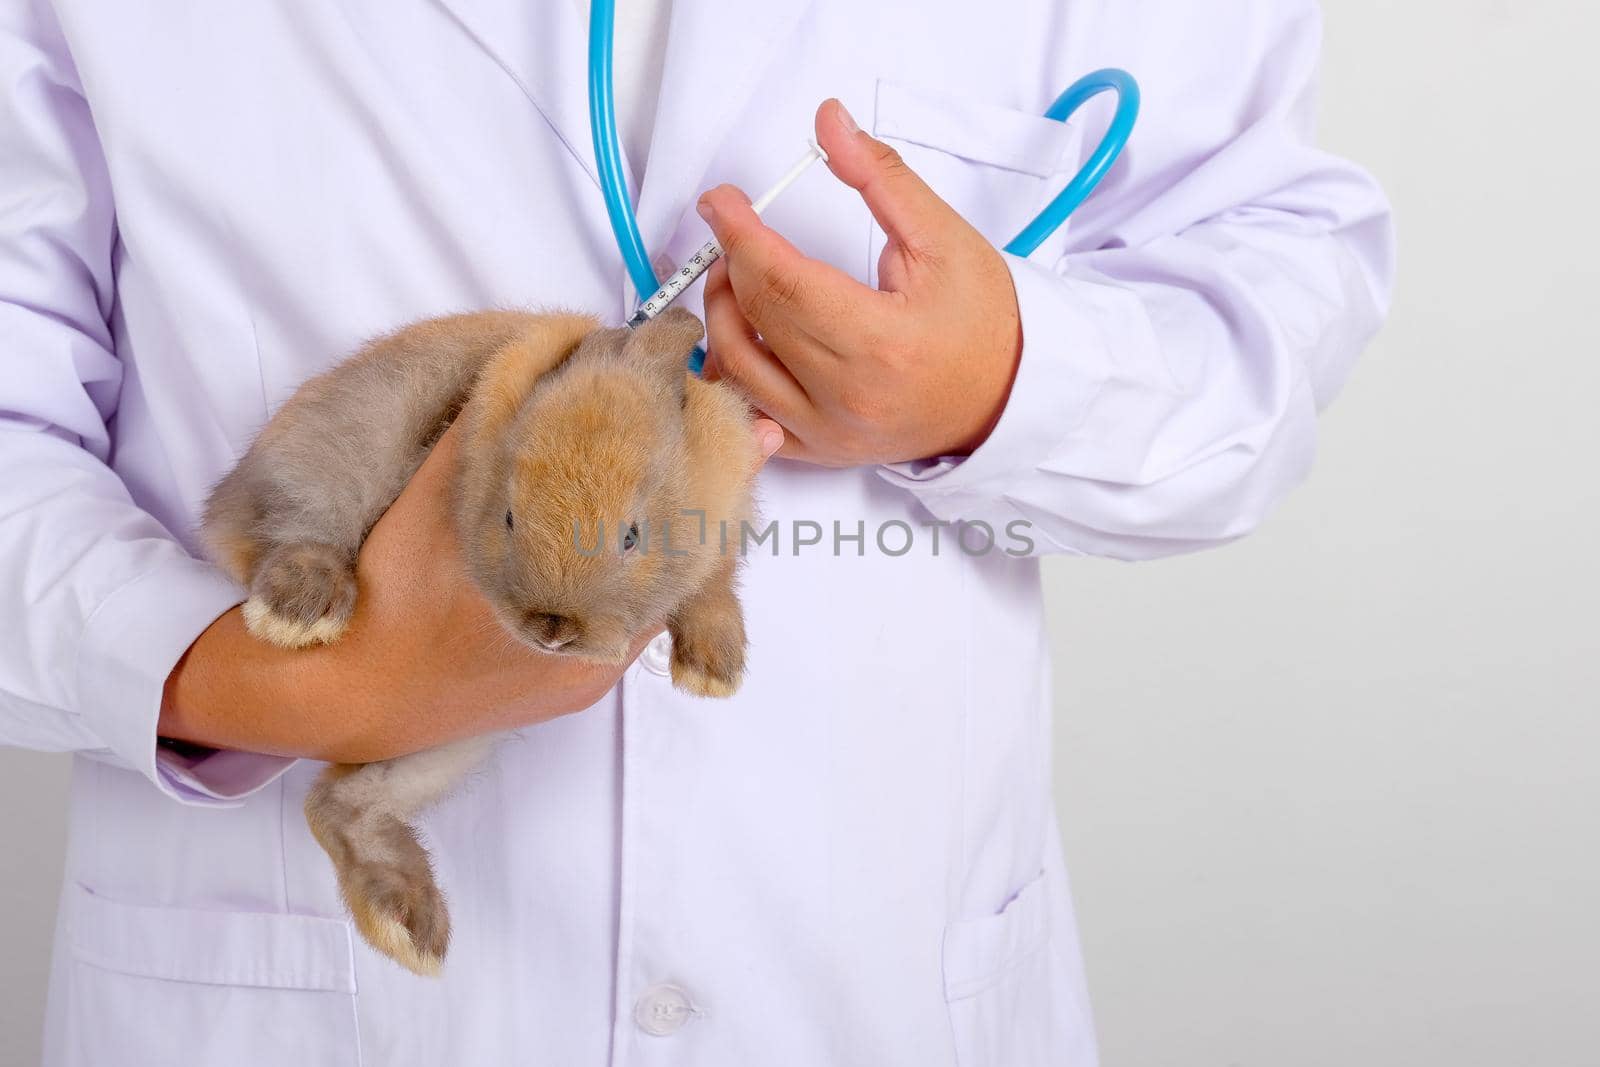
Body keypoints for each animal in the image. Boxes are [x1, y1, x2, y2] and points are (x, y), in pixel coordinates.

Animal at [201, 307, 761, 979]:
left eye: (632, 536)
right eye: (510, 518)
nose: (551, 629)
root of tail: (223, 518)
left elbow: (710, 587)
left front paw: (713, 669)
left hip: (445, 731)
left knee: (341, 801)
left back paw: (406, 925)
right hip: (339, 448)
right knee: (300, 527)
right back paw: (296, 613)